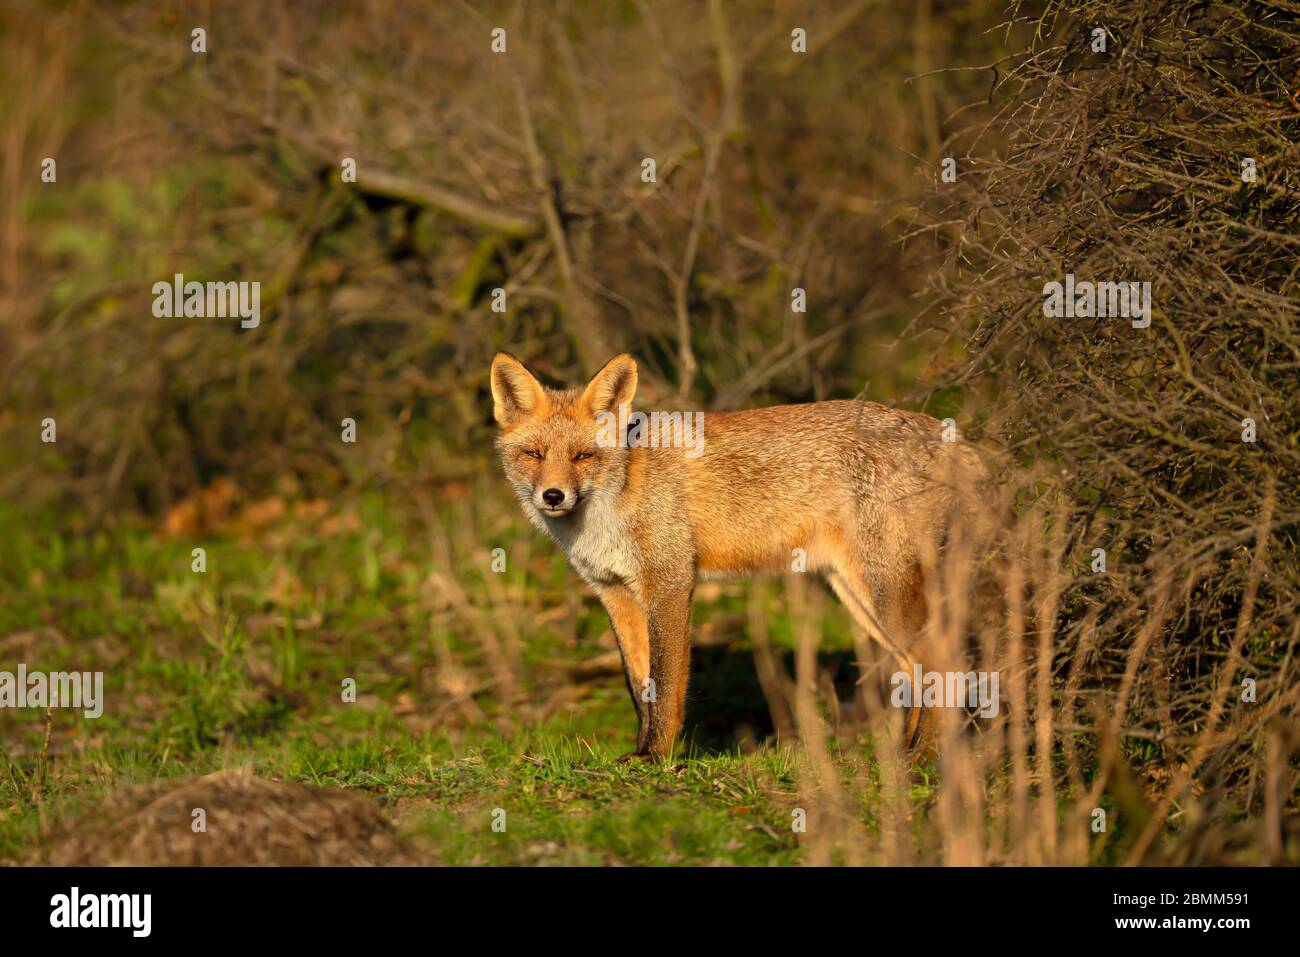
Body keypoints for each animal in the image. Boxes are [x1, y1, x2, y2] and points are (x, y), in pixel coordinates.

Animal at [491, 351, 987, 764]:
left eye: (583, 456)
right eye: (533, 454)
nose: (553, 496)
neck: (617, 498)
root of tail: (951, 435)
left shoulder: (670, 583)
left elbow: (666, 686)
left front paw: (657, 758)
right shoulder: (613, 592)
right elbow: (638, 685)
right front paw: (639, 750)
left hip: (884, 591)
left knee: (948, 664)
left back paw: (927, 760)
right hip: (858, 595)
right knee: (915, 671)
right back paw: (903, 757)